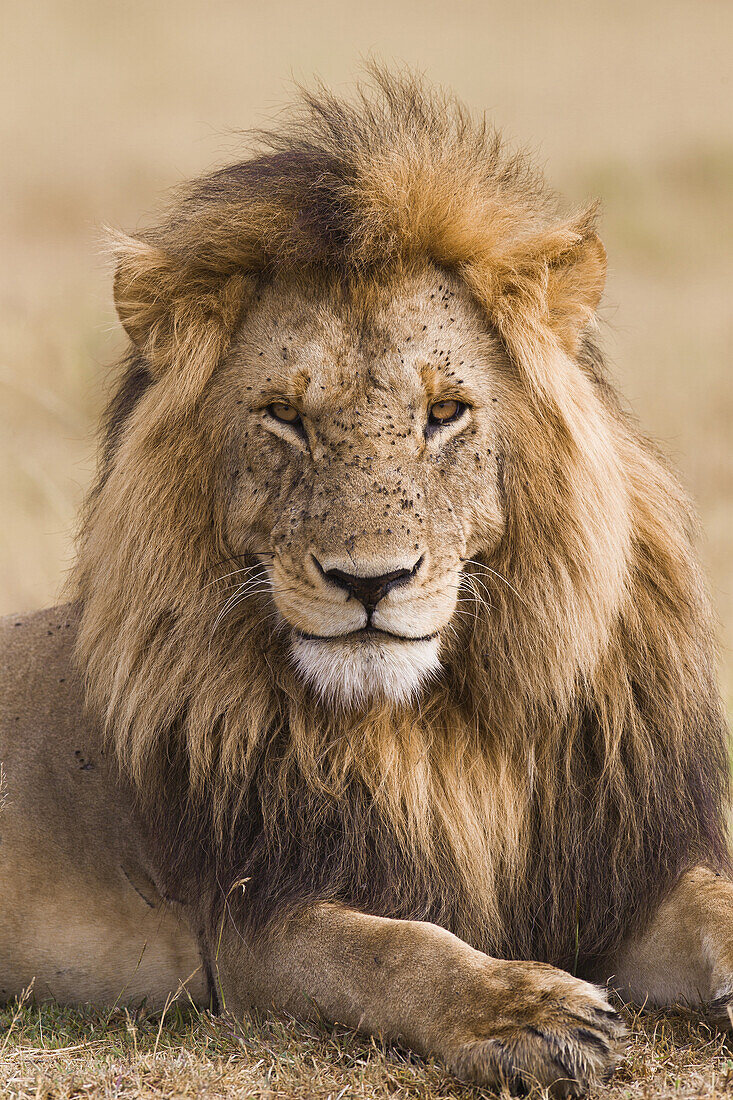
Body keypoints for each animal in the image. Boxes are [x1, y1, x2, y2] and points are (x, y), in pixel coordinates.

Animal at [1, 68, 730, 1091]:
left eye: (445, 412)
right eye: (283, 416)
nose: (370, 582)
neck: (439, 734)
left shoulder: (607, 869)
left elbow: (713, 902)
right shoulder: (255, 919)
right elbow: (396, 950)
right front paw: (524, 1010)